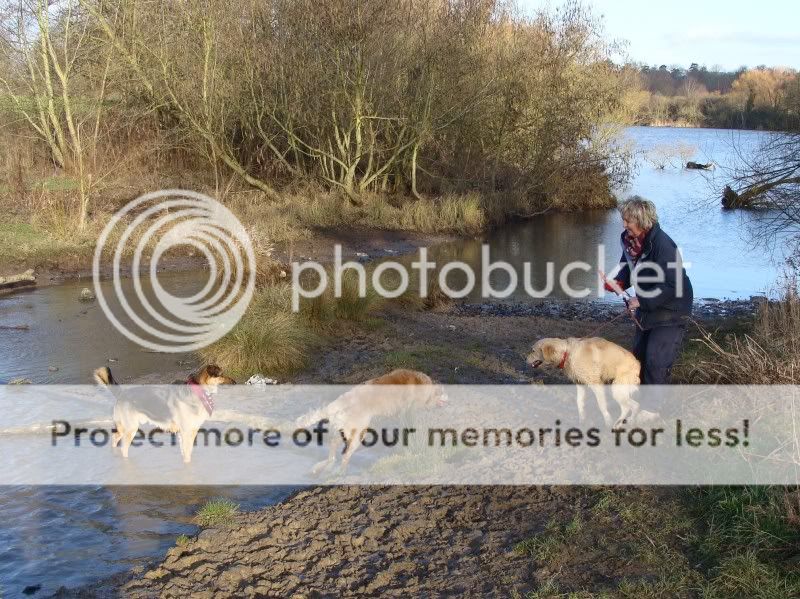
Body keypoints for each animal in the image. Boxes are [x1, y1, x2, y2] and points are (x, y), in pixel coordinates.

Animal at [94, 366, 236, 464]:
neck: (199, 392)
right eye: (221, 375)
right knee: (123, 448)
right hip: (131, 429)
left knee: (114, 438)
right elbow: (187, 454)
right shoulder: (186, 432)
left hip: (125, 427)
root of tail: (122, 393)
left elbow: (187, 453)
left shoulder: (188, 432)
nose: (235, 382)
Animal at [296, 368, 450, 476]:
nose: (449, 398)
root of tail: (340, 402)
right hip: (358, 432)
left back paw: (325, 467)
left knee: (333, 449)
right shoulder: (408, 409)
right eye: (443, 392)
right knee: (345, 455)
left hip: (345, 430)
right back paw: (340, 471)